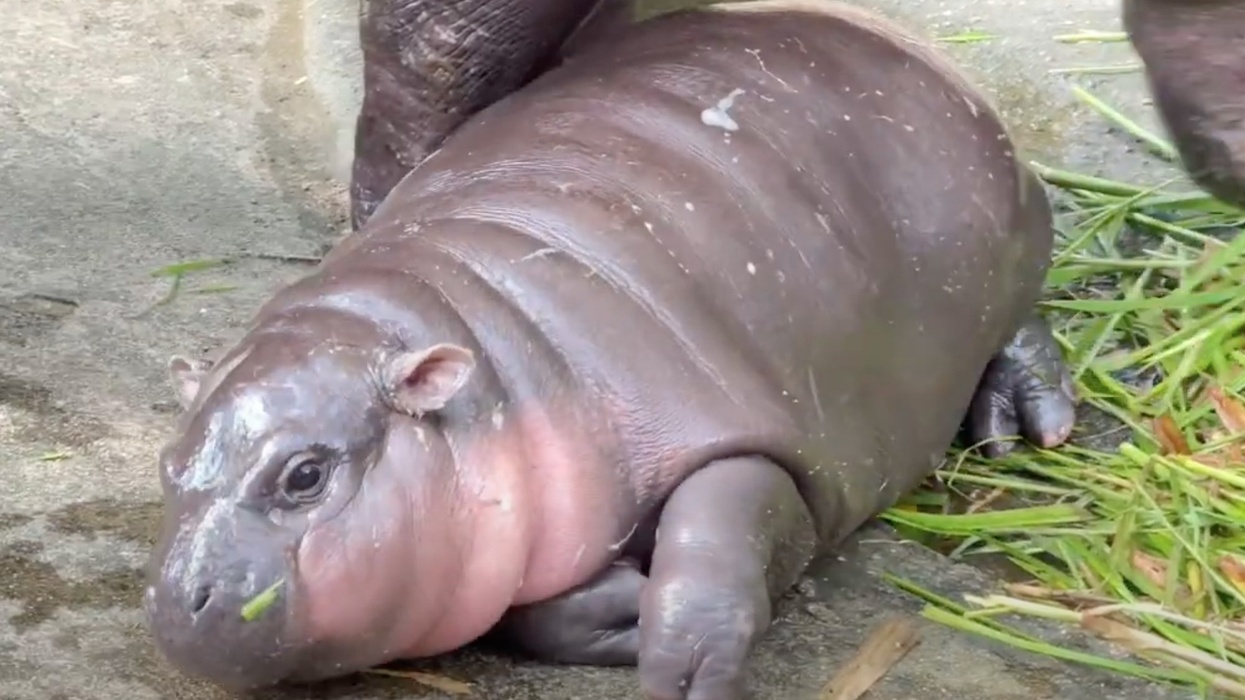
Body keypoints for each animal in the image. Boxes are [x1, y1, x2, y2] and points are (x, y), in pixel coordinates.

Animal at [145, 2, 1078, 699]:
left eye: (304, 474)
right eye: (167, 466)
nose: (174, 608)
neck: (485, 349)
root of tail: (919, 51)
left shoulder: (732, 427)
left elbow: (721, 531)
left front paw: (681, 666)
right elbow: (541, 612)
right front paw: (627, 601)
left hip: (1006, 255)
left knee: (1020, 325)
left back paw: (1024, 427)